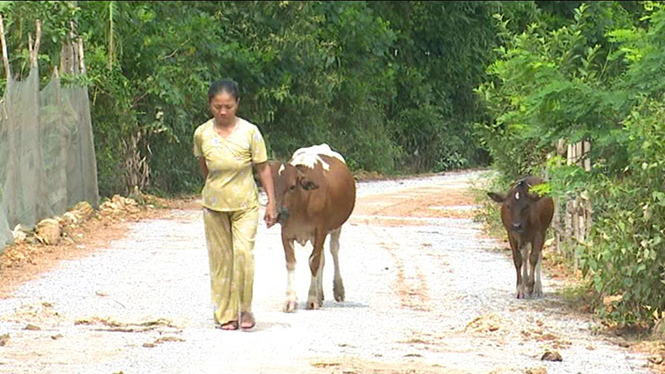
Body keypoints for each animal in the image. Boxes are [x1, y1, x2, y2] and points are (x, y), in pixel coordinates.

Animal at [268, 145, 356, 312]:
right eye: (270, 186)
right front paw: (290, 300)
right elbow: (291, 263)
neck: (302, 203)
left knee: (333, 251)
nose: (277, 213)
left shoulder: (320, 230)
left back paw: (338, 290)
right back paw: (321, 294)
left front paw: (312, 298)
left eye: (292, 187)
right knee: (323, 257)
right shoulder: (286, 233)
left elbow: (314, 261)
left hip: (336, 228)